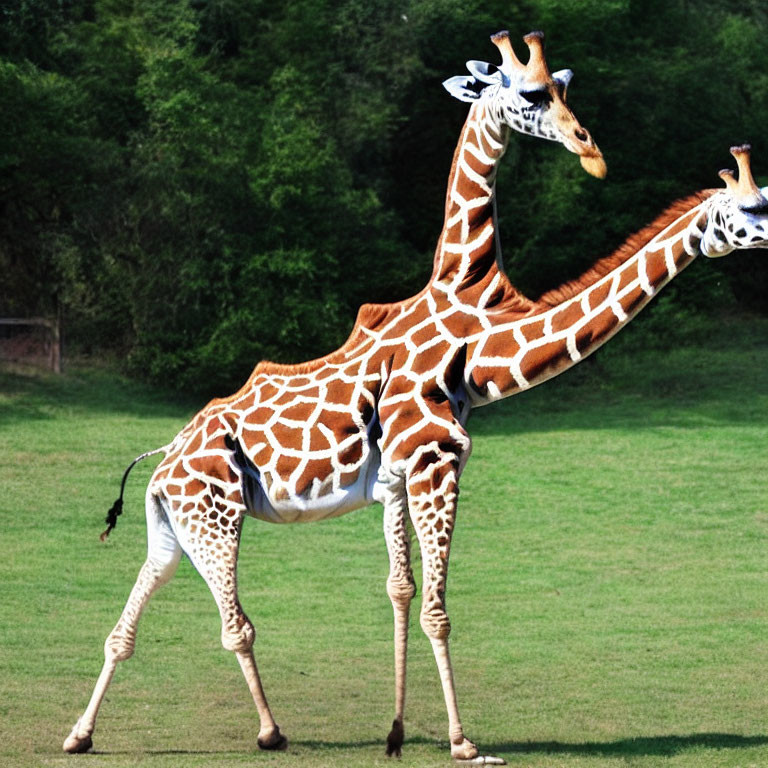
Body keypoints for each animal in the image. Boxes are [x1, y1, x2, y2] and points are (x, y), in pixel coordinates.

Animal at [61, 28, 608, 760]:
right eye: (531, 93)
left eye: (566, 83)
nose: (588, 147)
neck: (454, 292)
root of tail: (159, 466)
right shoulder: (425, 459)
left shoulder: (394, 475)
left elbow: (401, 587)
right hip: (217, 518)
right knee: (235, 623)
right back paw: (270, 731)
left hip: (171, 530)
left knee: (126, 627)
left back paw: (80, 735)